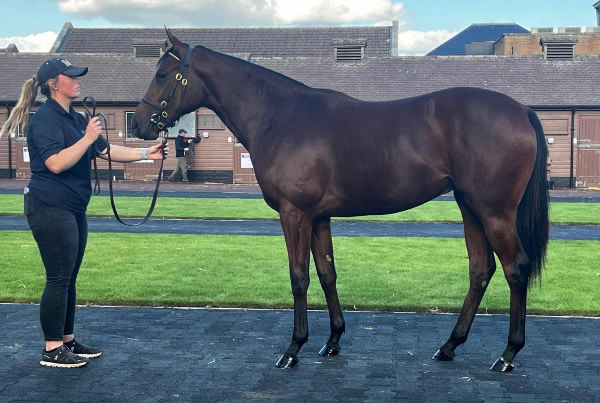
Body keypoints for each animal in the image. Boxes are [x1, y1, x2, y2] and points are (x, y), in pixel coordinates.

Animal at [134, 30, 552, 374]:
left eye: (162, 74)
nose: (139, 125)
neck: (281, 117)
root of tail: (521, 110)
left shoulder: (295, 214)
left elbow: (299, 277)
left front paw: (293, 348)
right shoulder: (319, 217)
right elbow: (326, 273)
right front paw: (332, 341)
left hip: (494, 212)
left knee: (516, 268)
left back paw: (507, 354)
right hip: (470, 207)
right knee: (481, 270)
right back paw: (449, 346)